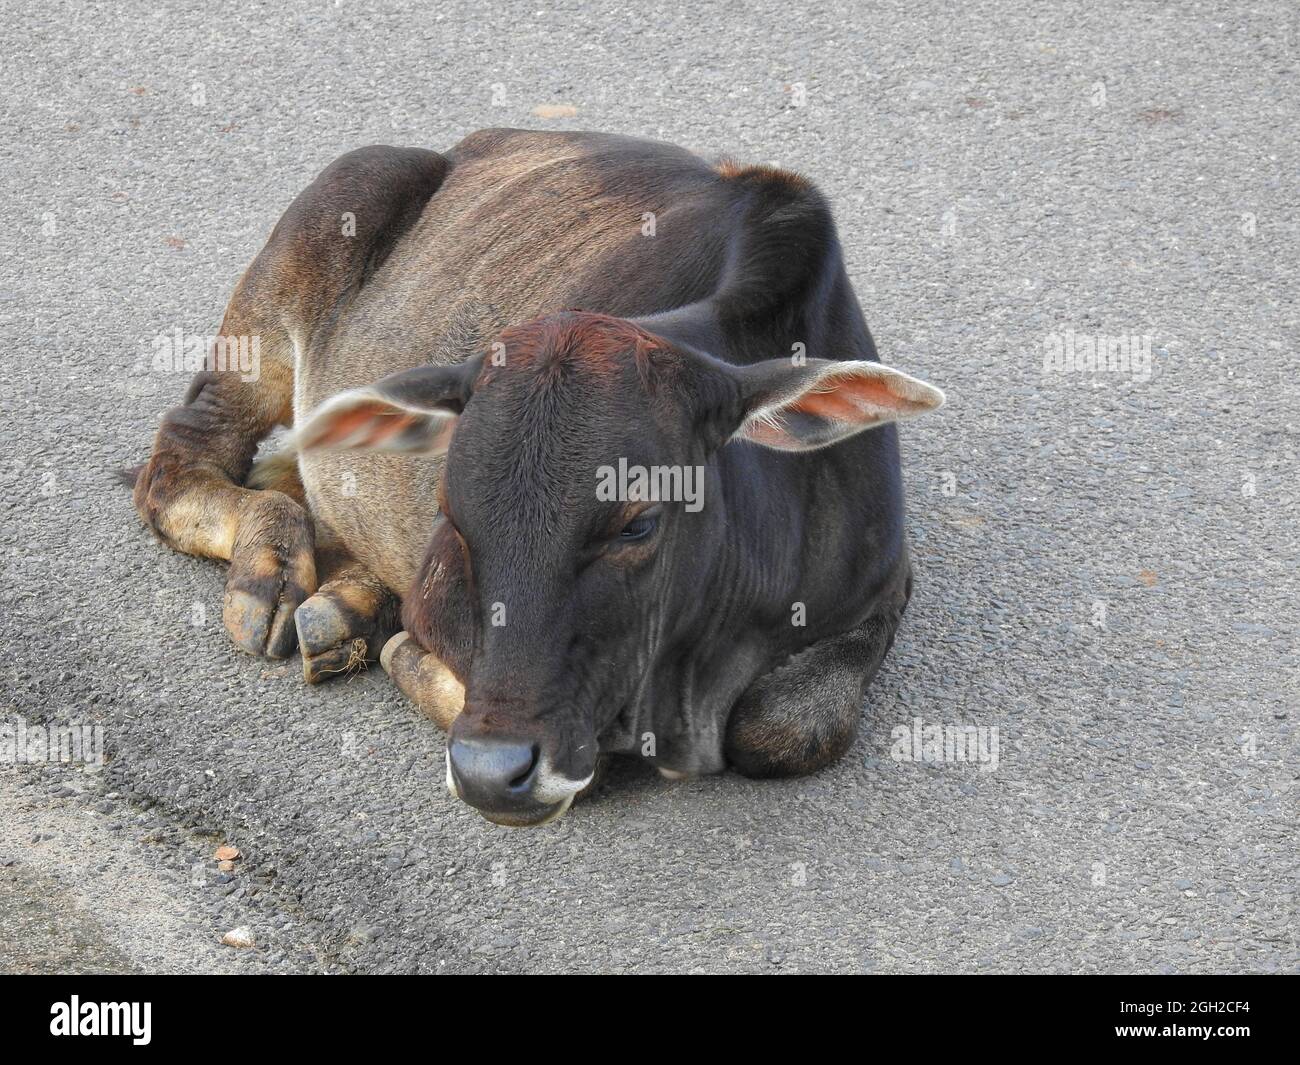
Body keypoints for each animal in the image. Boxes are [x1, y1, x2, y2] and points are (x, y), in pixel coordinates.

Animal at [129, 129, 944, 827]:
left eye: (640, 519)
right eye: (454, 515)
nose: (491, 772)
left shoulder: (885, 587)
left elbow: (787, 727)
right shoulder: (448, 605)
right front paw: (401, 650)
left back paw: (343, 608)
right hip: (299, 264)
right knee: (181, 460)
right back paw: (271, 573)